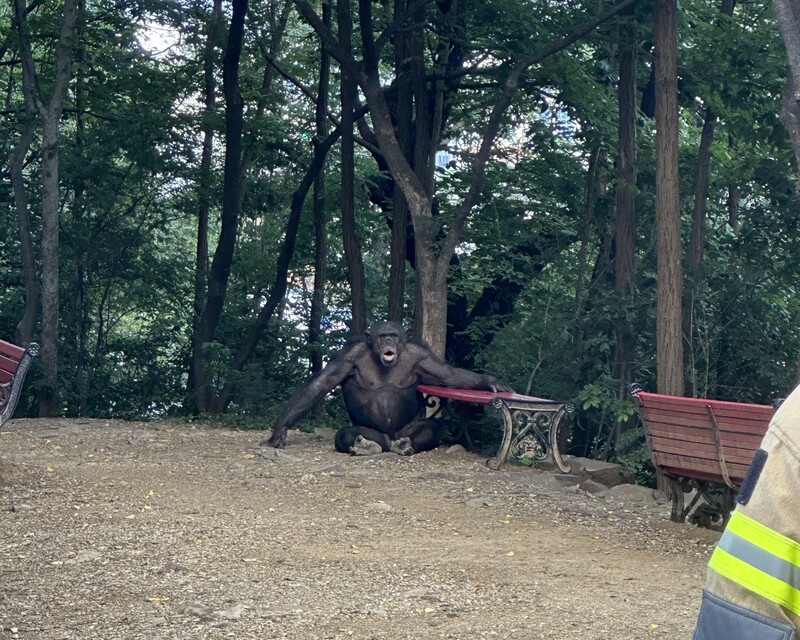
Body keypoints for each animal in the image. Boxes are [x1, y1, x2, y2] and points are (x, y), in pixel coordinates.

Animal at [262, 320, 512, 456]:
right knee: (347, 434)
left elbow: (451, 375)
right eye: (382, 337)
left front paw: (492, 381)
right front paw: (280, 431)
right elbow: (321, 383)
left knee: (434, 427)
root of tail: (390, 440)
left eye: (393, 335)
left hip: (404, 430)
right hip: (375, 434)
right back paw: (366, 446)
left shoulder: (423, 357)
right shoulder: (347, 355)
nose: (389, 343)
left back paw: (405, 444)